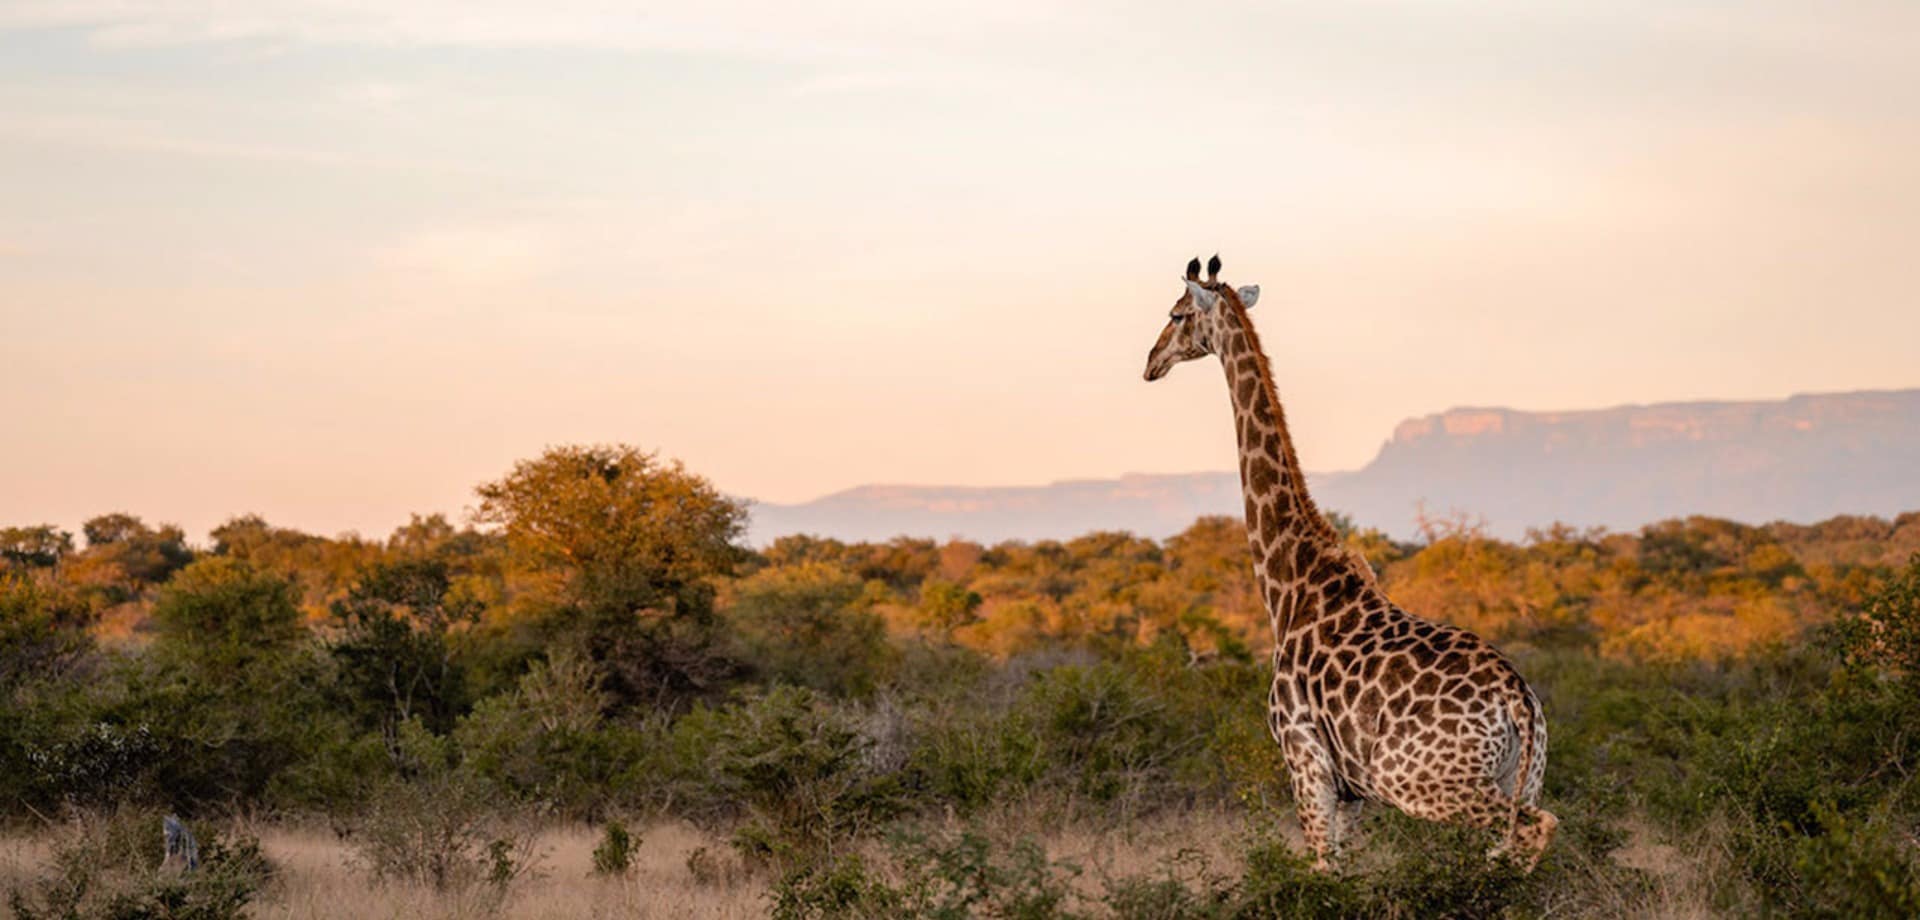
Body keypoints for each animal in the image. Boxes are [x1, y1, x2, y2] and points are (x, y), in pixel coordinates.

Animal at [1144, 255, 1551, 875]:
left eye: (1176, 314)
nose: (1150, 362)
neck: (1289, 584)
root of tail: (1517, 701)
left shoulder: (1305, 761)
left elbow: (1322, 870)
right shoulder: (1351, 792)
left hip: (1421, 781)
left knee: (1532, 829)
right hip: (1524, 774)